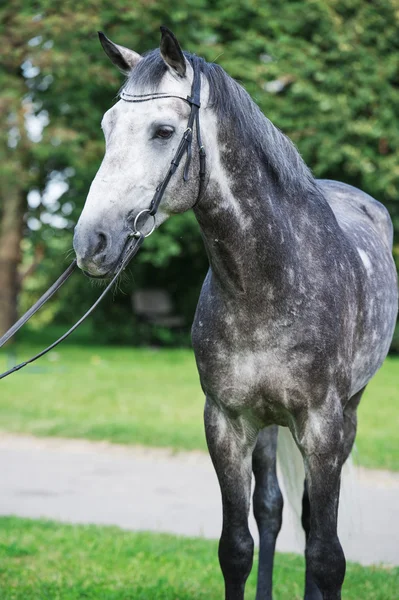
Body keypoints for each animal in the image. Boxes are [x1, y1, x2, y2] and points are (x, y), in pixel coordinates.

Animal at [73, 28, 398, 600]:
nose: (92, 242)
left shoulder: (324, 427)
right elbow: (237, 547)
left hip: (347, 415)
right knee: (271, 509)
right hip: (267, 425)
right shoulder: (225, 424)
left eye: (163, 131)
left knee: (311, 522)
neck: (268, 282)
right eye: (108, 128)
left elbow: (327, 556)